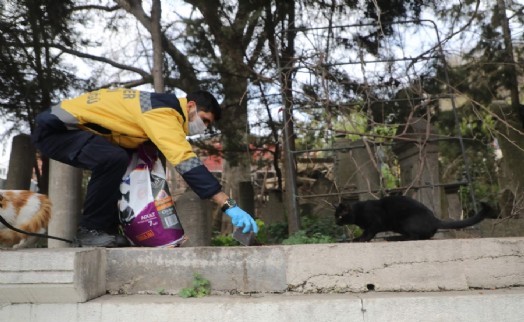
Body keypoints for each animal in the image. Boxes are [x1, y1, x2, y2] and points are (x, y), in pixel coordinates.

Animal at [334, 194, 494, 242]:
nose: (336, 222)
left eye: (340, 216)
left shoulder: (374, 223)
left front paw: (358, 239)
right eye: (335, 216)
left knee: (413, 237)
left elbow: (368, 233)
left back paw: (393, 238)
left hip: (406, 222)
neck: (358, 211)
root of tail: (434, 219)